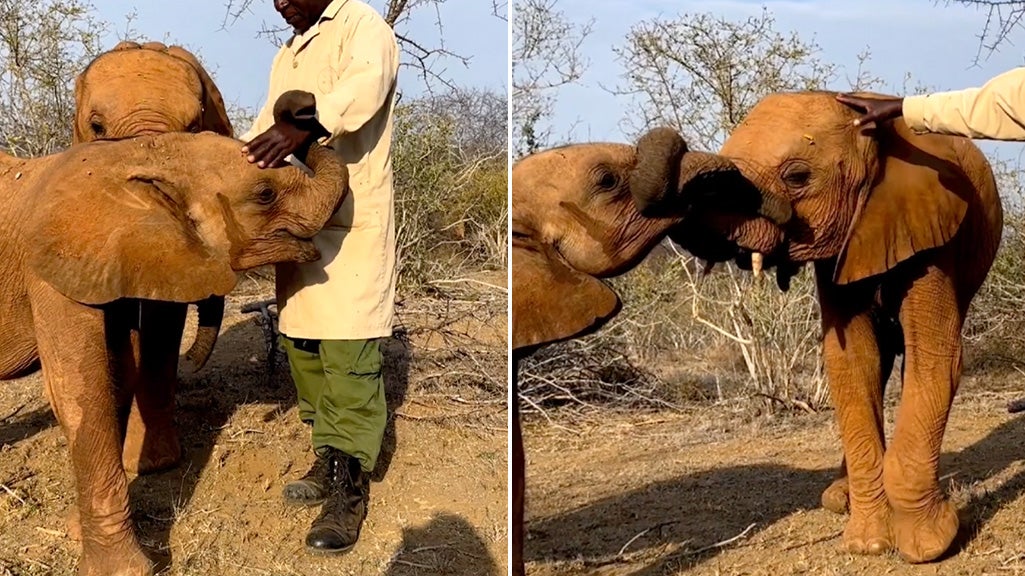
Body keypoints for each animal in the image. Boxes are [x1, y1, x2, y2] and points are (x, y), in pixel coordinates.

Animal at [0, 91, 347, 576]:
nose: (301, 104)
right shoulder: (50, 267)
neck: (140, 156)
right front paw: (127, 570)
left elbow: (117, 374)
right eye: (264, 194)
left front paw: (75, 531)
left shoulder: (112, 260)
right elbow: (79, 391)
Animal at [634, 91, 1002, 563]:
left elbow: (936, 357)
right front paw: (868, 544)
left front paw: (927, 545)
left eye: (797, 176)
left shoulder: (935, 234)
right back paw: (837, 499)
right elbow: (851, 360)